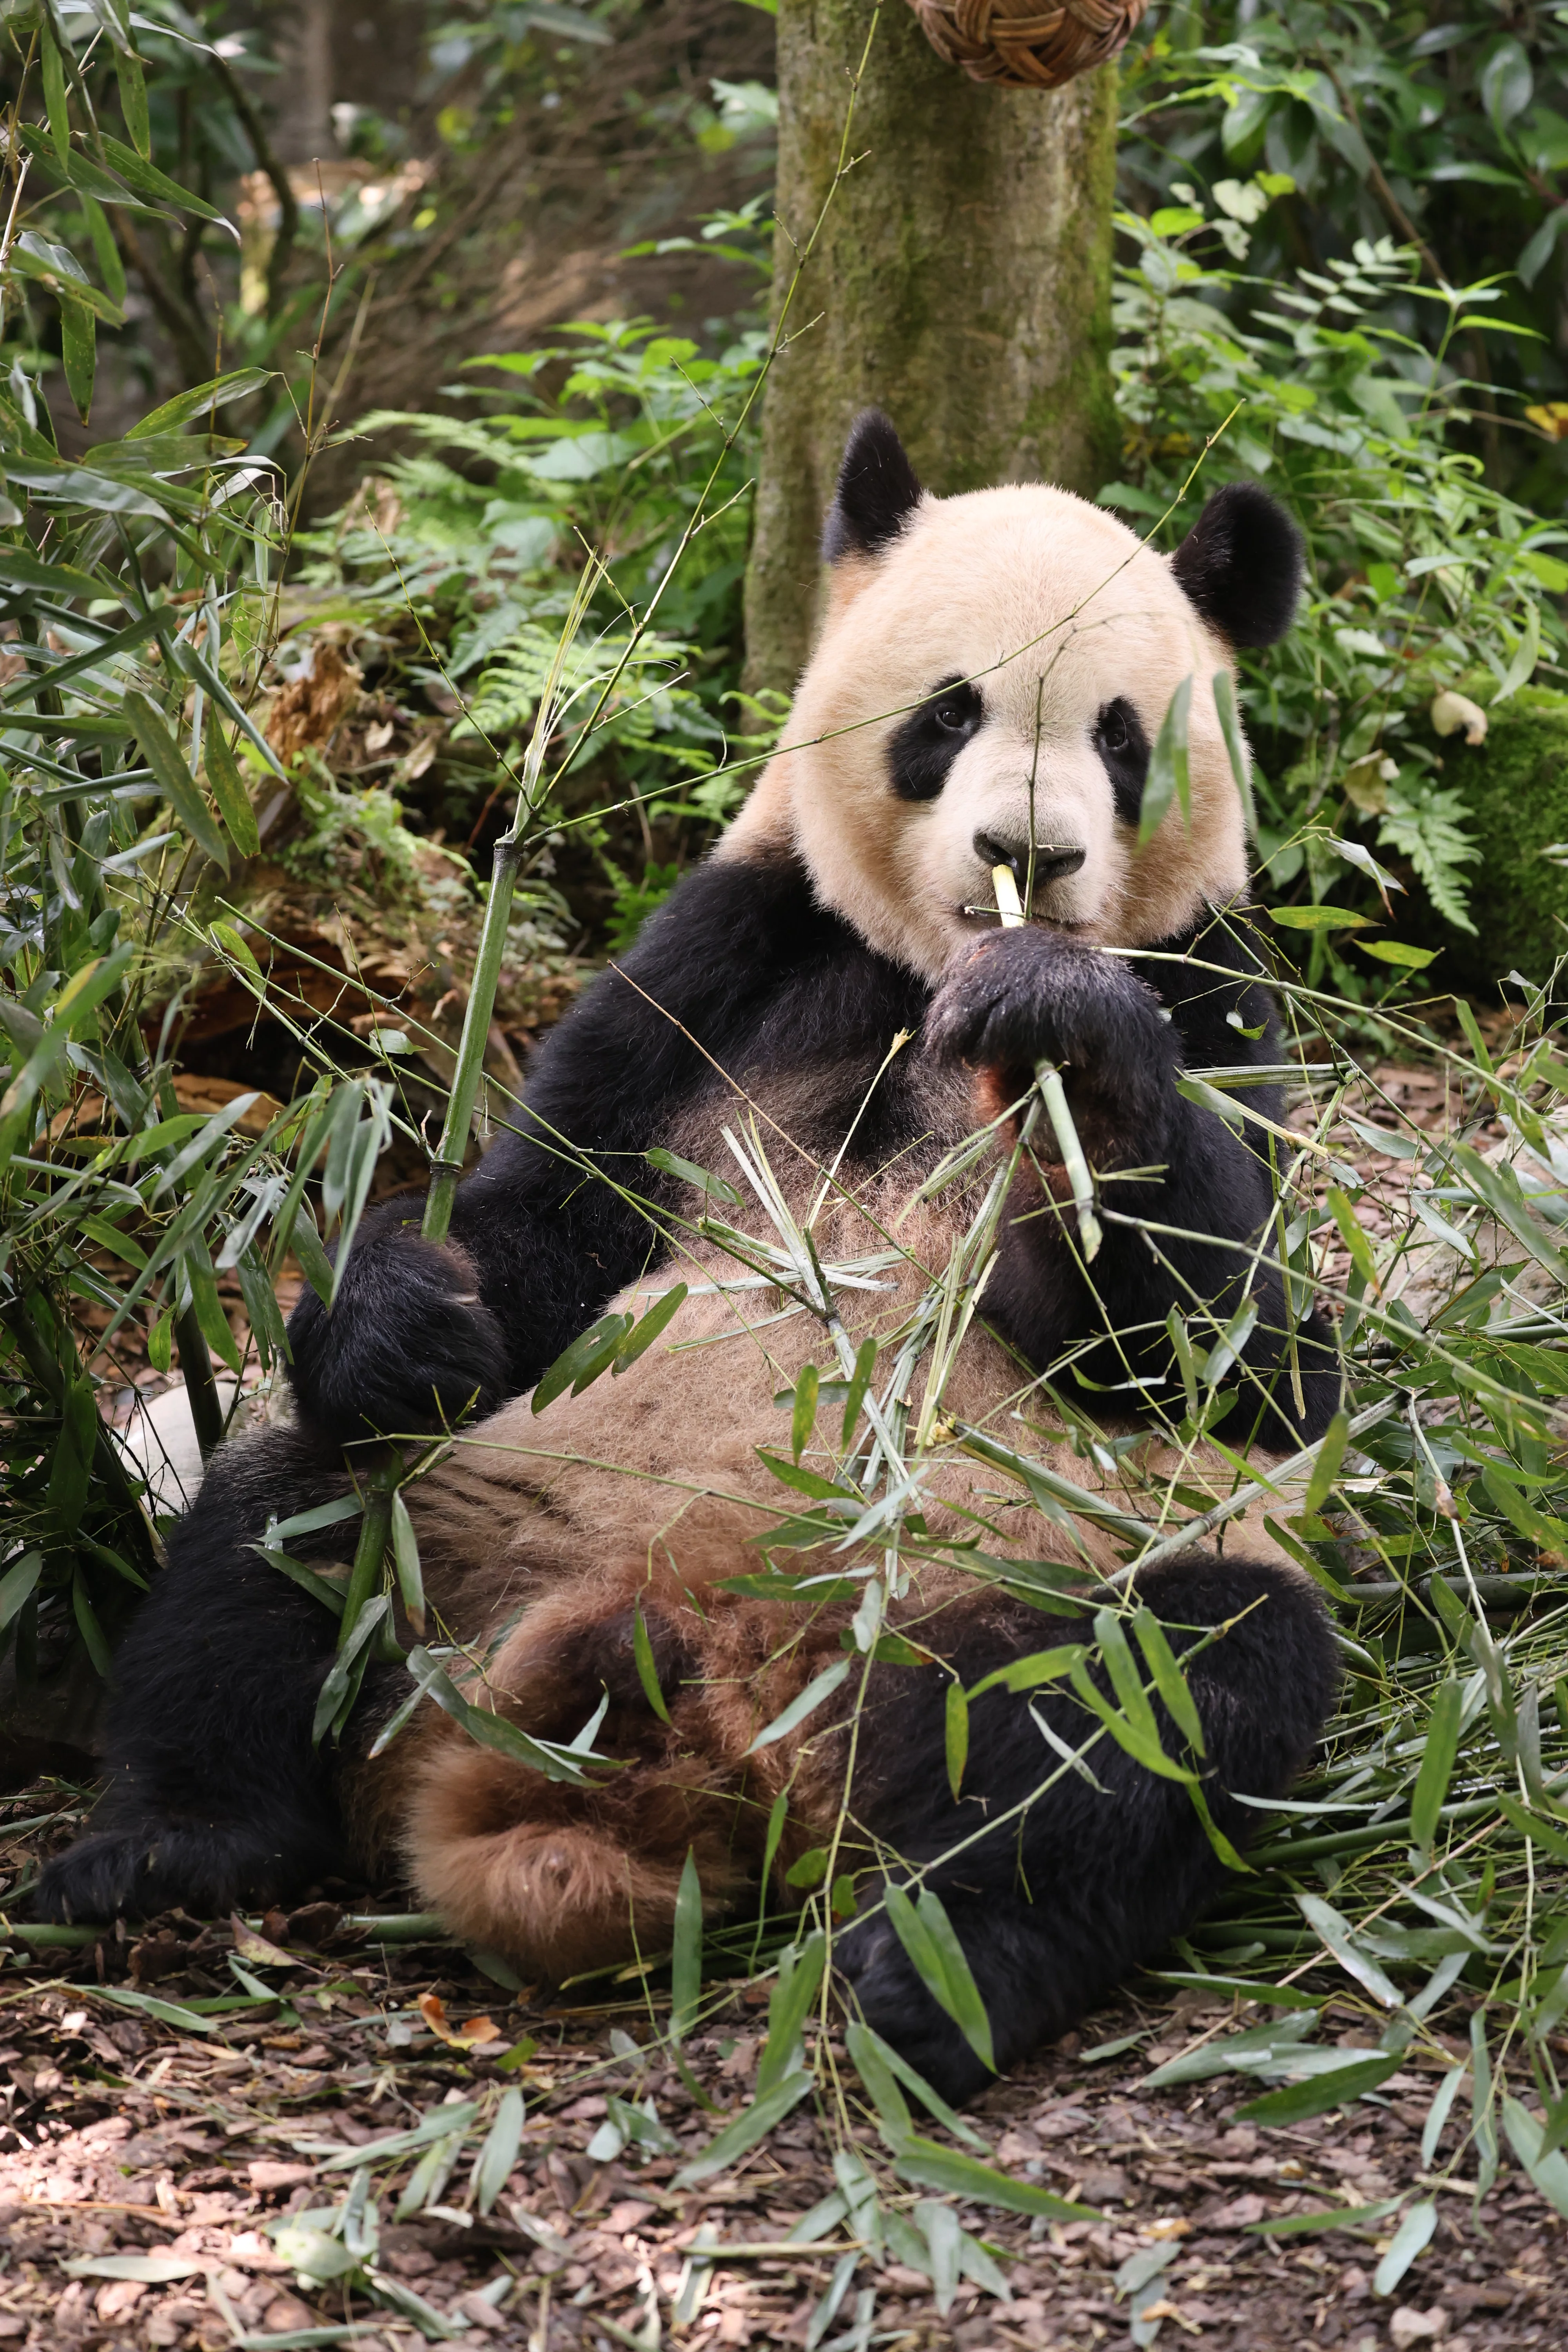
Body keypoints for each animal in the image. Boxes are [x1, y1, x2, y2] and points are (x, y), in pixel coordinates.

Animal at [42, 413, 1341, 2103]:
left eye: (1122, 740)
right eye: (950, 713)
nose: (1029, 855)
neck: (934, 972)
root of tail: (717, 1722)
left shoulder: (1216, 991)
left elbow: (1247, 1370)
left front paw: (1066, 1027)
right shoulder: (733, 951)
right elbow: (541, 1223)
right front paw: (415, 1313)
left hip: (1002, 1590)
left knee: (1167, 1696)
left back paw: (943, 1973)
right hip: (467, 1530)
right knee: (289, 1512)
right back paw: (162, 1851)